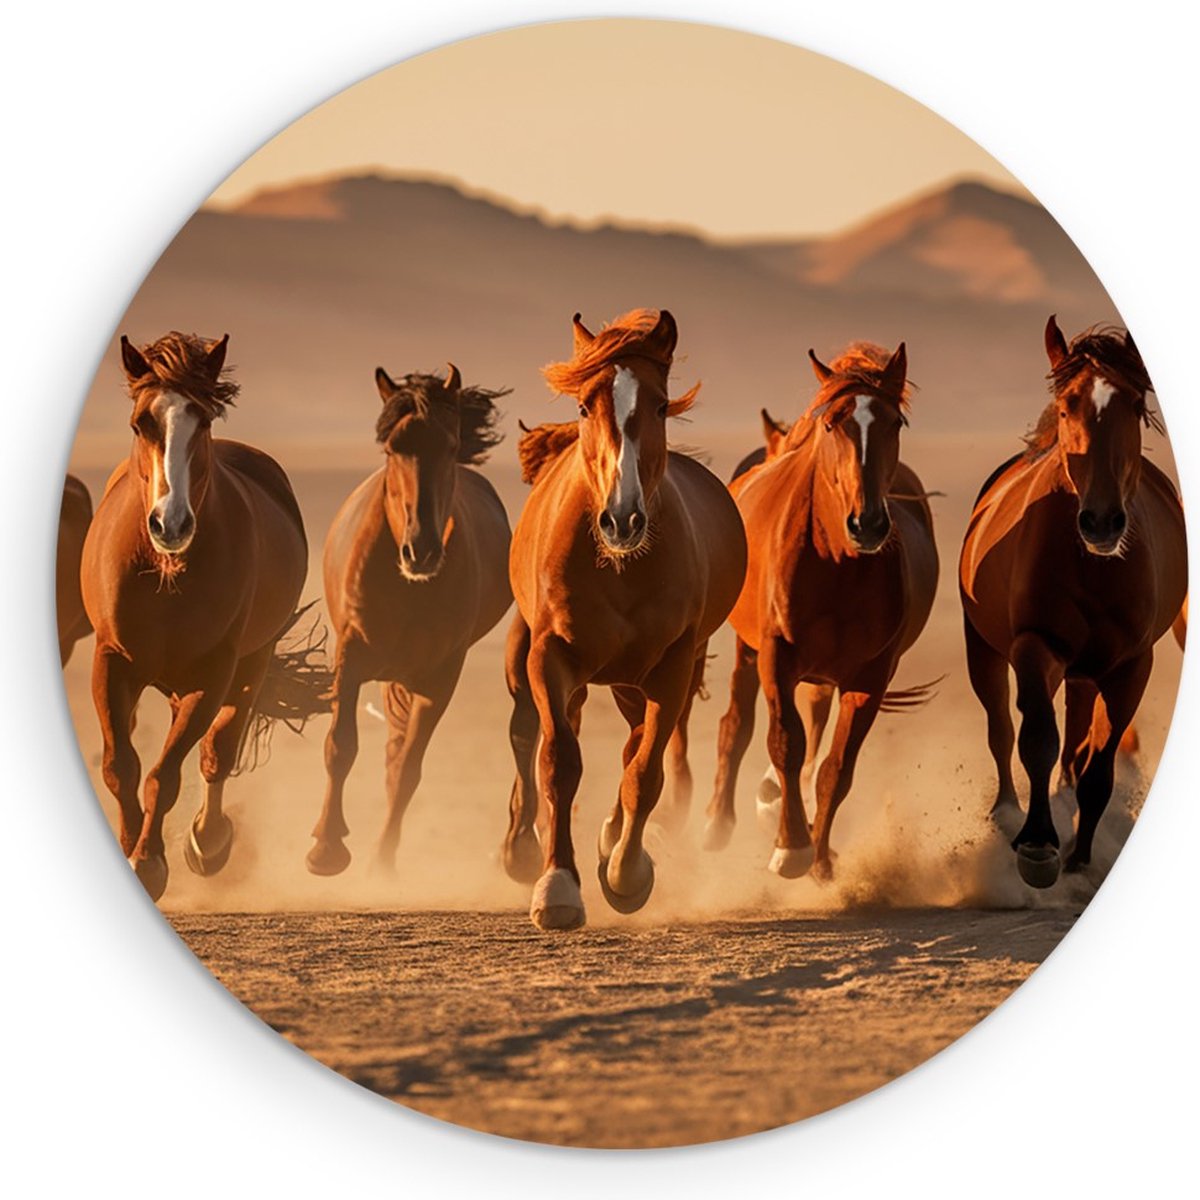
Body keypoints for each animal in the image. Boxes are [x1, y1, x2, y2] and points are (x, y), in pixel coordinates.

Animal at [83, 331, 324, 900]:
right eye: (140, 422)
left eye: (205, 422)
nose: (170, 524)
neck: (165, 574)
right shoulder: (111, 661)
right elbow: (121, 766)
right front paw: (131, 847)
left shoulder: (213, 674)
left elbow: (168, 772)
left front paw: (150, 861)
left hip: (251, 662)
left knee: (219, 750)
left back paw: (208, 840)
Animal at [307, 366, 512, 876]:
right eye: (391, 448)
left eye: (450, 447)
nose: (421, 550)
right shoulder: (351, 655)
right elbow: (340, 747)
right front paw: (326, 847)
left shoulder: (439, 679)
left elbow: (407, 770)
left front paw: (381, 862)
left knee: (396, 758)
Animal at [503, 308, 747, 931]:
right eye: (584, 407)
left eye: (659, 406)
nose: (621, 519)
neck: (616, 568)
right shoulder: (550, 657)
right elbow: (559, 761)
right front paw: (557, 887)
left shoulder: (672, 669)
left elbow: (645, 772)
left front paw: (626, 873)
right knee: (539, 733)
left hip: (641, 680)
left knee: (633, 745)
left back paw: (612, 841)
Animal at [704, 341, 939, 881]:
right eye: (833, 424)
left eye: (895, 422)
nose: (867, 524)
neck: (836, 566)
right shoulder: (777, 657)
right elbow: (784, 743)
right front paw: (790, 846)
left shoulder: (869, 678)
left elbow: (836, 769)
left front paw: (819, 858)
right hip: (749, 648)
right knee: (736, 724)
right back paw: (717, 824)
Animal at [959, 317, 1186, 887]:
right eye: (1067, 406)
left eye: (1134, 403)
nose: (1101, 522)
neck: (1092, 567)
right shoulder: (1035, 646)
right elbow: (1037, 738)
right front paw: (1038, 845)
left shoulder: (1130, 666)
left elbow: (1098, 764)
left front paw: (1080, 857)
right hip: (985, 649)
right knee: (1001, 728)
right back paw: (1007, 812)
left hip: (1087, 674)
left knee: (1080, 741)